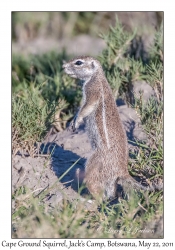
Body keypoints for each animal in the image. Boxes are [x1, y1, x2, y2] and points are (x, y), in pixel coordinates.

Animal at [62, 55, 162, 200]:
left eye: (78, 62)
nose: (63, 67)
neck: (96, 75)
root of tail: (123, 170)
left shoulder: (92, 90)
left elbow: (86, 107)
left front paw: (77, 121)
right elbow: (81, 108)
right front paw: (73, 121)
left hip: (94, 165)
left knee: (97, 191)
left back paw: (87, 200)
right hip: (109, 179)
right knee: (110, 193)